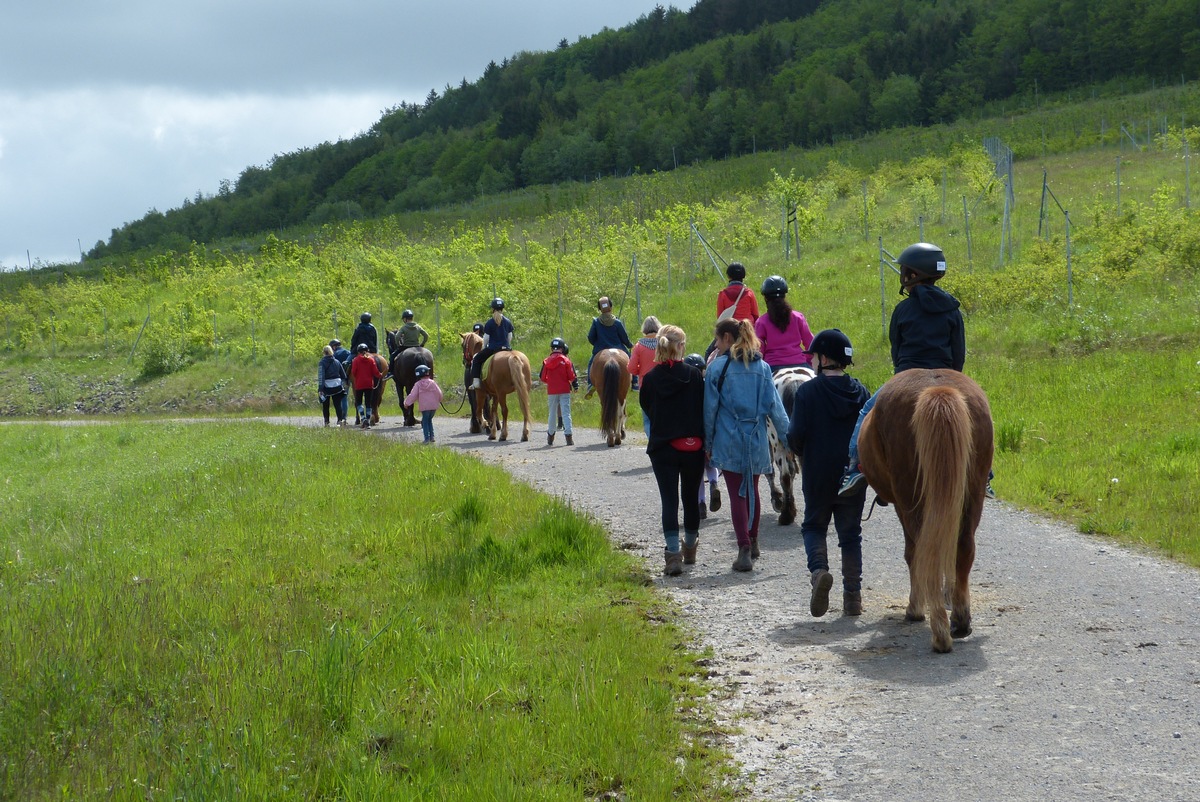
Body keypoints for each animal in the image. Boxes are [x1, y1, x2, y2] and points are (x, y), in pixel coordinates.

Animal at [864, 367, 993, 653]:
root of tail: (937, 390)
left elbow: (912, 554)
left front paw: (915, 609)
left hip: (910, 499)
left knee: (924, 553)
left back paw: (938, 631)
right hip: (972, 496)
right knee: (963, 549)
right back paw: (960, 621)